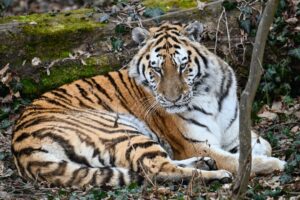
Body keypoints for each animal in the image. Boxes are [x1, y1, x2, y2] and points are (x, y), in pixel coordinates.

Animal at [10, 21, 284, 188]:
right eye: (157, 69)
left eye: (183, 66)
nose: (172, 100)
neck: (208, 91)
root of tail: (19, 145)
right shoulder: (196, 143)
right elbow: (240, 160)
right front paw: (275, 164)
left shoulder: (233, 133)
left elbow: (263, 146)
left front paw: (264, 153)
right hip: (120, 130)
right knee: (156, 168)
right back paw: (215, 173)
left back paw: (205, 164)